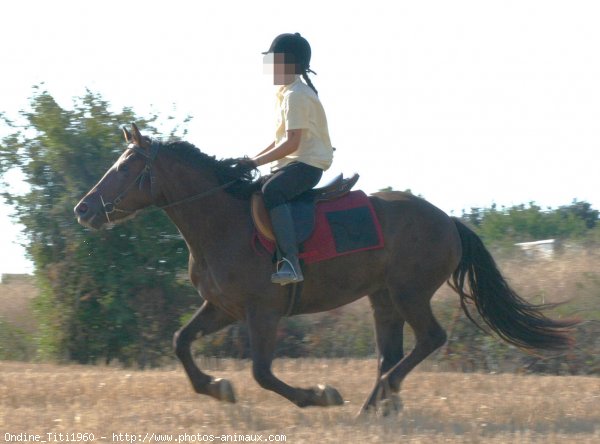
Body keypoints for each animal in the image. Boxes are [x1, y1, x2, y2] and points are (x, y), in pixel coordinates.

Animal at [75, 123, 576, 414]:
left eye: (125, 168)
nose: (84, 209)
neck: (221, 222)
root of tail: (449, 220)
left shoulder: (262, 312)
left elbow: (262, 372)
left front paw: (318, 396)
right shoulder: (222, 308)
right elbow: (180, 342)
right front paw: (217, 388)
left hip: (409, 292)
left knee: (428, 340)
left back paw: (378, 400)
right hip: (383, 298)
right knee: (391, 353)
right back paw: (380, 403)